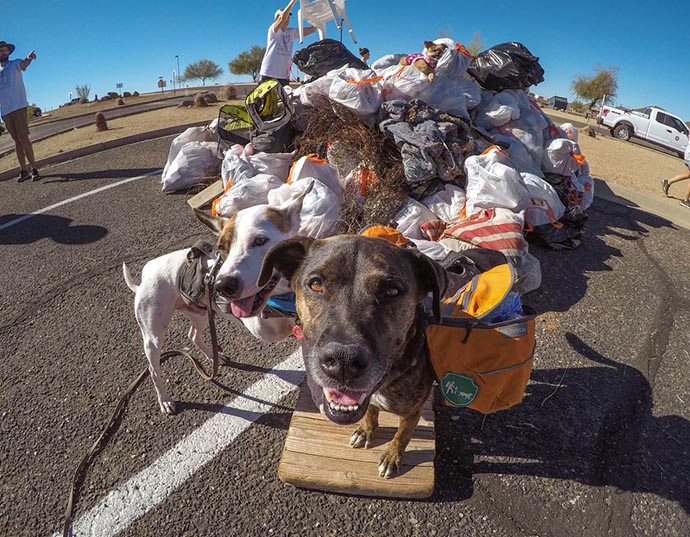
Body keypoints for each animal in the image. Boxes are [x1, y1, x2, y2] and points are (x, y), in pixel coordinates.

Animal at [122, 188, 308, 414]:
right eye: (222, 247)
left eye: (260, 241)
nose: (222, 285)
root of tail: (142, 280)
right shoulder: (262, 326)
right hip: (153, 336)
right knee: (153, 368)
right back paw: (164, 400)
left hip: (200, 313)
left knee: (193, 334)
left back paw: (213, 357)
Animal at [256, 234, 446, 478]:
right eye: (316, 284)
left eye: (392, 291)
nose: (343, 362)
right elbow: (370, 412)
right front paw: (365, 430)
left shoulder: (412, 413)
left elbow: (401, 436)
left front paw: (392, 456)